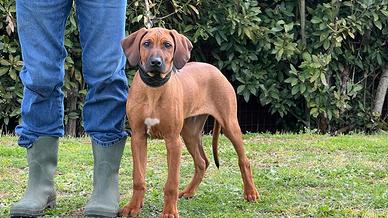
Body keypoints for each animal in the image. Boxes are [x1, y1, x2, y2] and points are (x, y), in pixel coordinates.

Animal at [119, 28, 258, 217]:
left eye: (167, 45)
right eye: (146, 43)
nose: (156, 62)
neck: (154, 88)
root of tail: (215, 69)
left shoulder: (173, 141)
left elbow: (171, 183)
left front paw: (170, 212)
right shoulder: (138, 138)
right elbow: (138, 178)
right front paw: (133, 206)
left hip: (230, 125)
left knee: (244, 160)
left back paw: (250, 193)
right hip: (189, 133)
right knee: (202, 162)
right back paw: (189, 191)